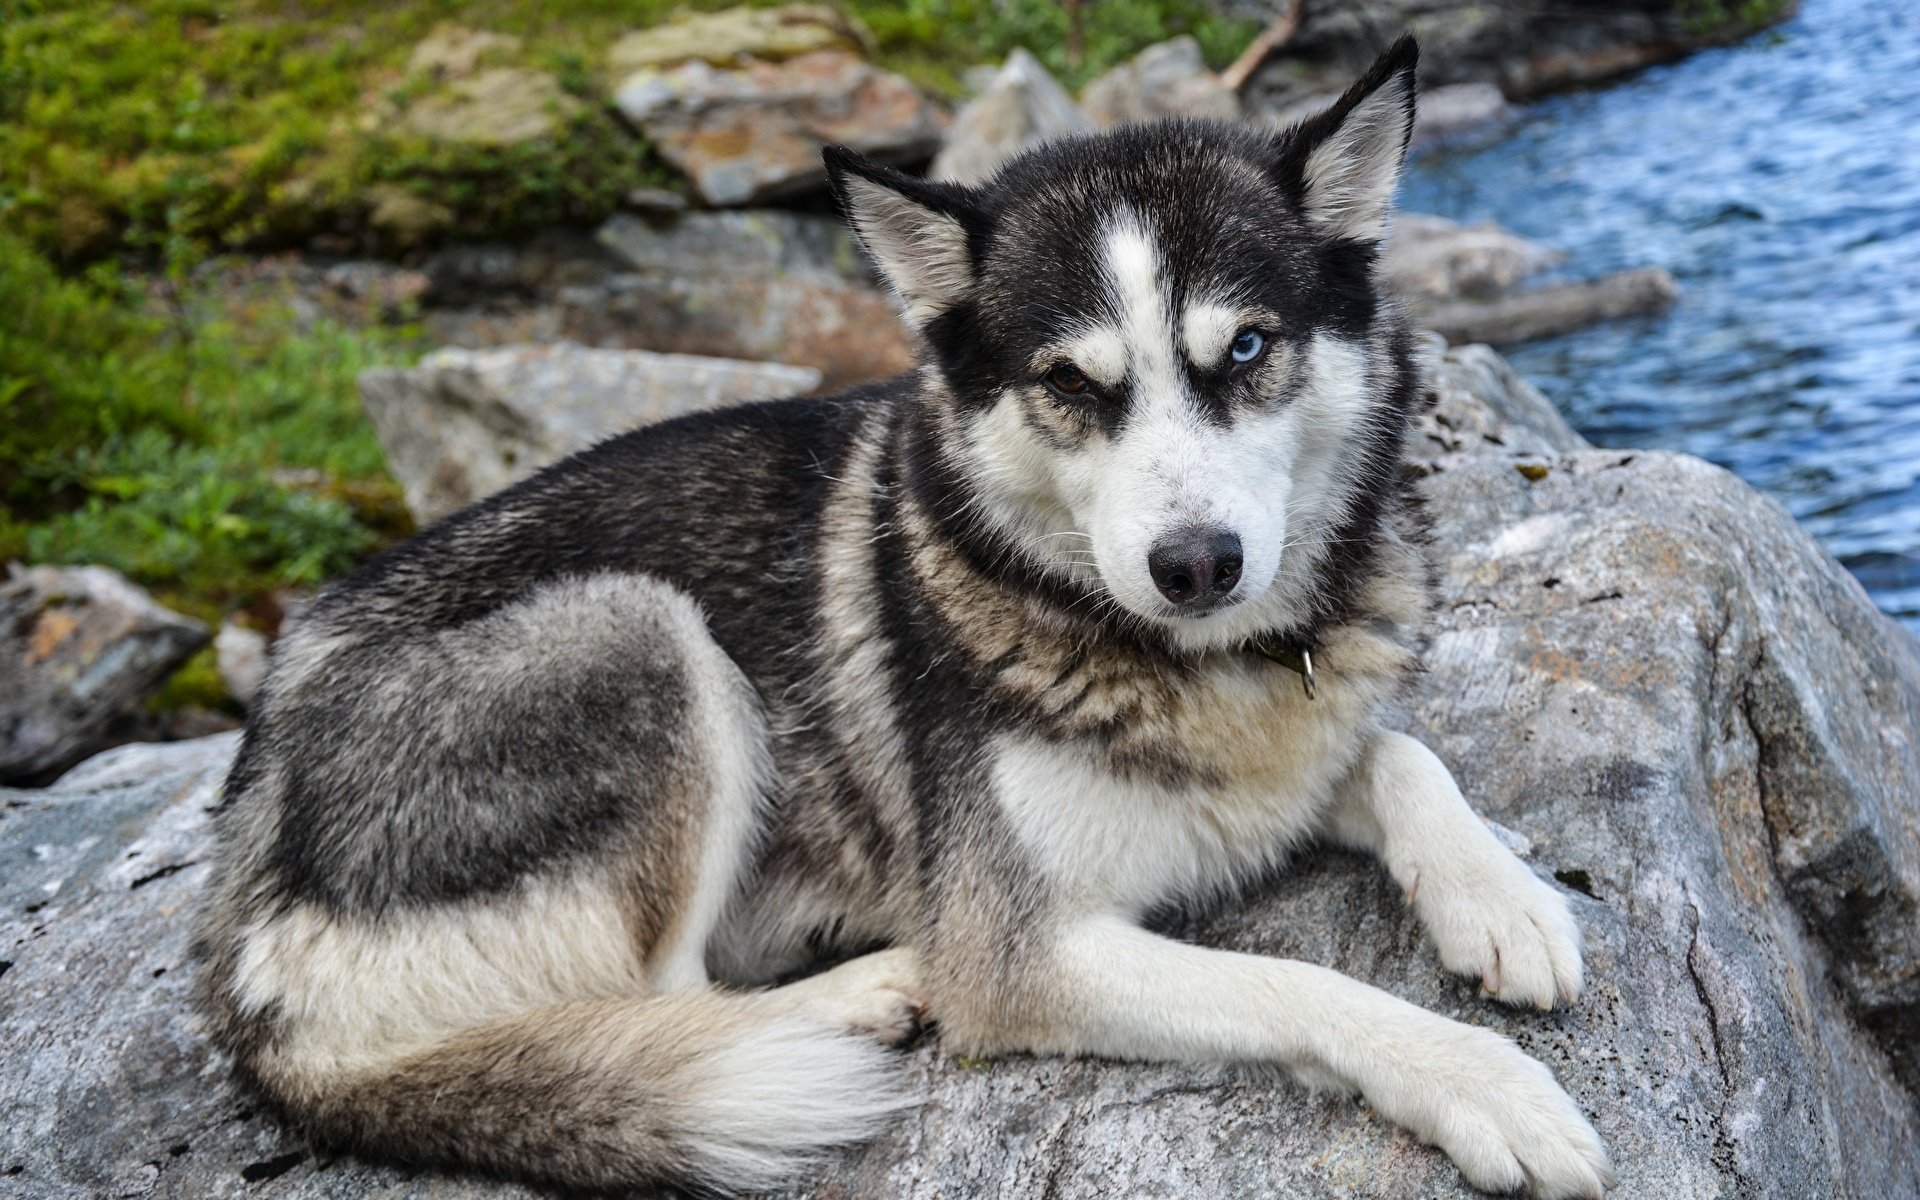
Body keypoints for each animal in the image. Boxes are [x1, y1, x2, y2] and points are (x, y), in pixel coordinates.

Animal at [194, 37, 1612, 1198]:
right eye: (1069, 384)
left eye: (1248, 349)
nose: (1198, 565)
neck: (1193, 660)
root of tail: (242, 910)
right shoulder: (1021, 951)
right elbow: (1299, 983)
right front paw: (1483, 1083)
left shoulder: (1297, 740)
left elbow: (1394, 750)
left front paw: (1504, 899)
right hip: (638, 635)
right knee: (660, 1001)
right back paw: (856, 995)